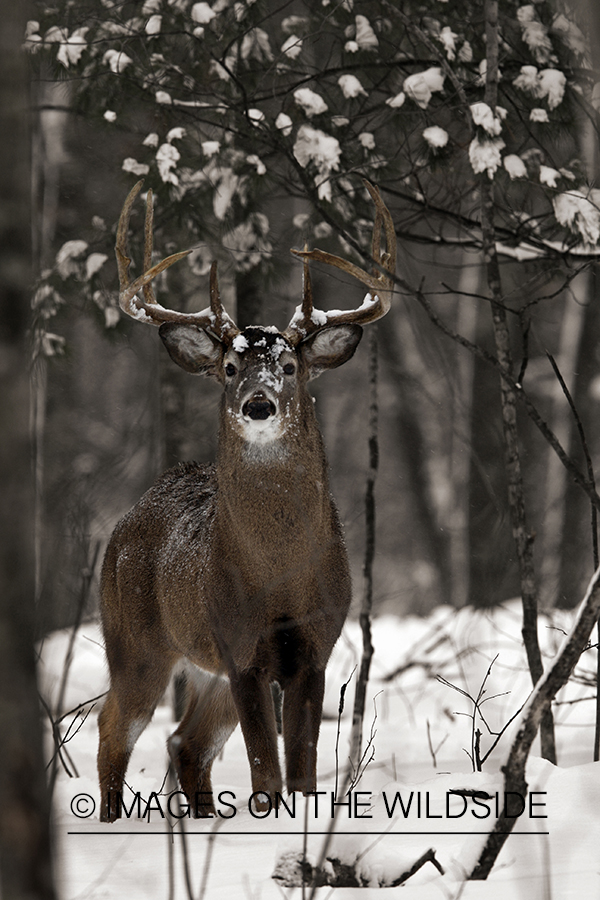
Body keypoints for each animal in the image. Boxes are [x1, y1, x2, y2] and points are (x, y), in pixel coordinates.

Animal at [96, 178, 396, 824]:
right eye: (231, 366)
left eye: (288, 363)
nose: (259, 404)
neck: (279, 581)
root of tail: (124, 524)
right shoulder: (241, 649)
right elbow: (266, 772)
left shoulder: (315, 648)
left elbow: (301, 768)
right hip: (135, 641)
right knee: (114, 730)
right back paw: (108, 822)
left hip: (204, 669)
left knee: (184, 743)